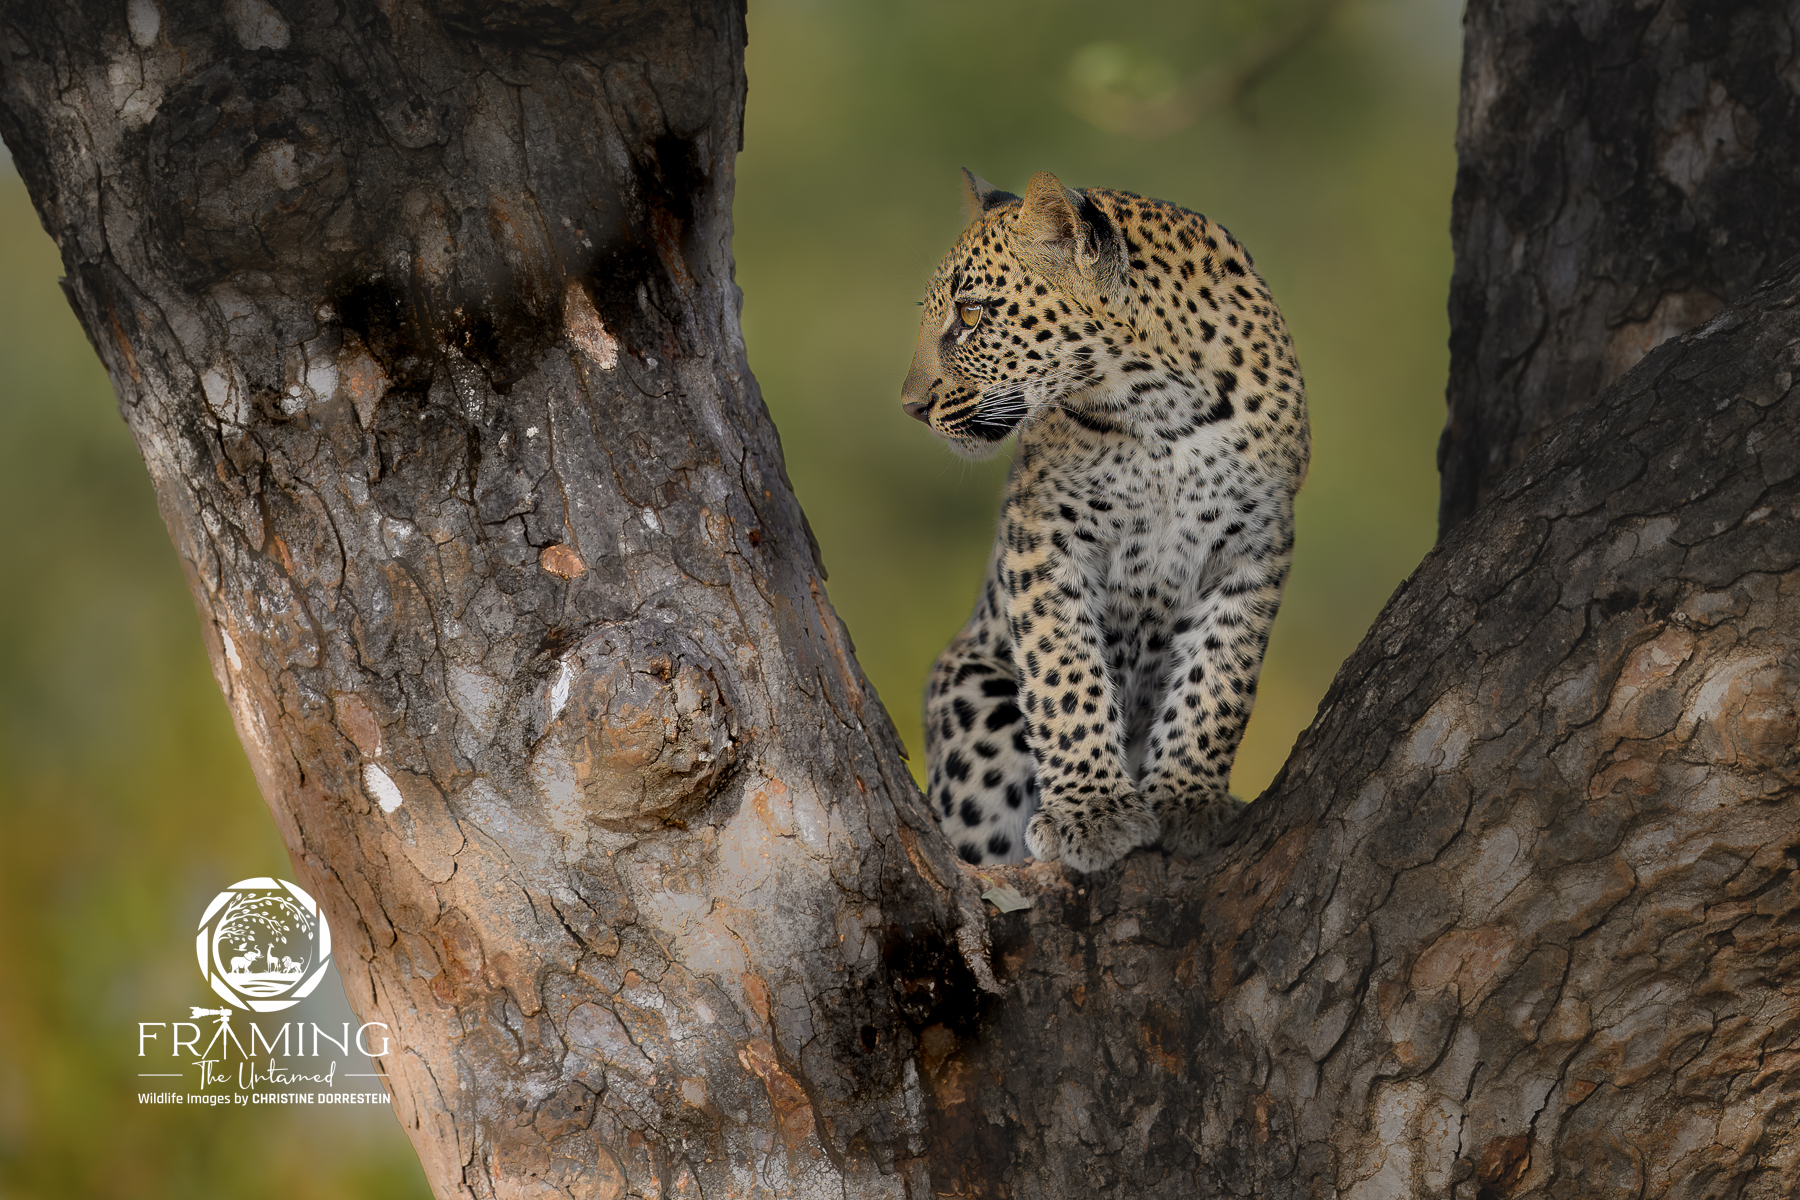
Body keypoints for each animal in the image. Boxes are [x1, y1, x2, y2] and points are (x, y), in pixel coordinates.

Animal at [902, 170, 1309, 872]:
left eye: (972, 314)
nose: (911, 405)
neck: (1162, 411)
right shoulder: (1041, 533)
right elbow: (1064, 669)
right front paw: (1091, 813)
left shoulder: (1257, 546)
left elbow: (1218, 678)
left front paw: (1186, 801)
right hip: (973, 698)